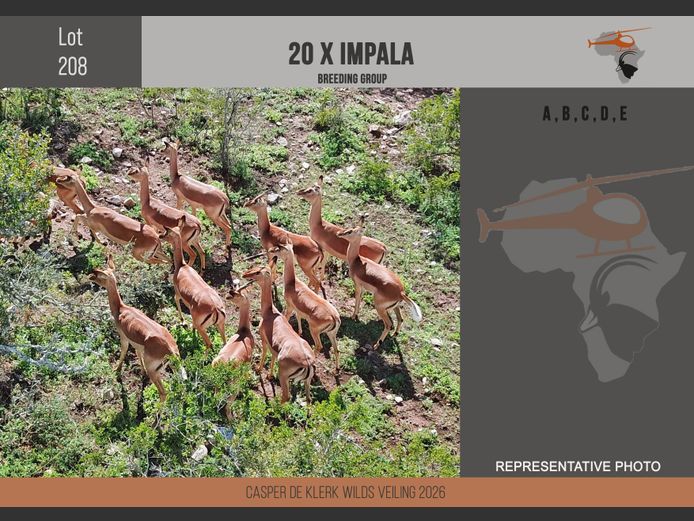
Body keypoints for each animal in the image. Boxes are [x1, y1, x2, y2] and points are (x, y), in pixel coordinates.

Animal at [90, 254, 184, 401]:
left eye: (100, 275)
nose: (90, 277)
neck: (121, 309)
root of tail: (170, 350)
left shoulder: (124, 338)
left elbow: (123, 352)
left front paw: (116, 370)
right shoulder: (138, 346)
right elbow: (138, 355)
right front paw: (141, 372)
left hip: (155, 372)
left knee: (163, 393)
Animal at [162, 221, 226, 350]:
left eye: (167, 232)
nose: (160, 236)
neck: (182, 266)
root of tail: (215, 308)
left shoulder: (177, 294)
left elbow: (176, 300)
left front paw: (182, 320)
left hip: (204, 328)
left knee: (209, 344)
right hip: (220, 326)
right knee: (225, 343)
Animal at [242, 265, 315, 403]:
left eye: (258, 272)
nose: (245, 275)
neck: (270, 313)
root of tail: (307, 362)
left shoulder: (264, 340)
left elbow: (264, 354)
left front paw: (258, 369)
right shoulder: (274, 349)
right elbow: (272, 358)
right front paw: (269, 376)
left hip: (283, 376)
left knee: (286, 397)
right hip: (307, 382)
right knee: (308, 399)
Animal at [270, 239, 341, 372]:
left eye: (280, 248)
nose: (271, 251)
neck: (292, 283)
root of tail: (334, 317)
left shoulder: (289, 306)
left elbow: (286, 318)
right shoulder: (298, 310)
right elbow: (298, 319)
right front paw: (299, 333)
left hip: (315, 331)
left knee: (319, 346)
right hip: (331, 334)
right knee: (337, 350)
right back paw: (337, 370)